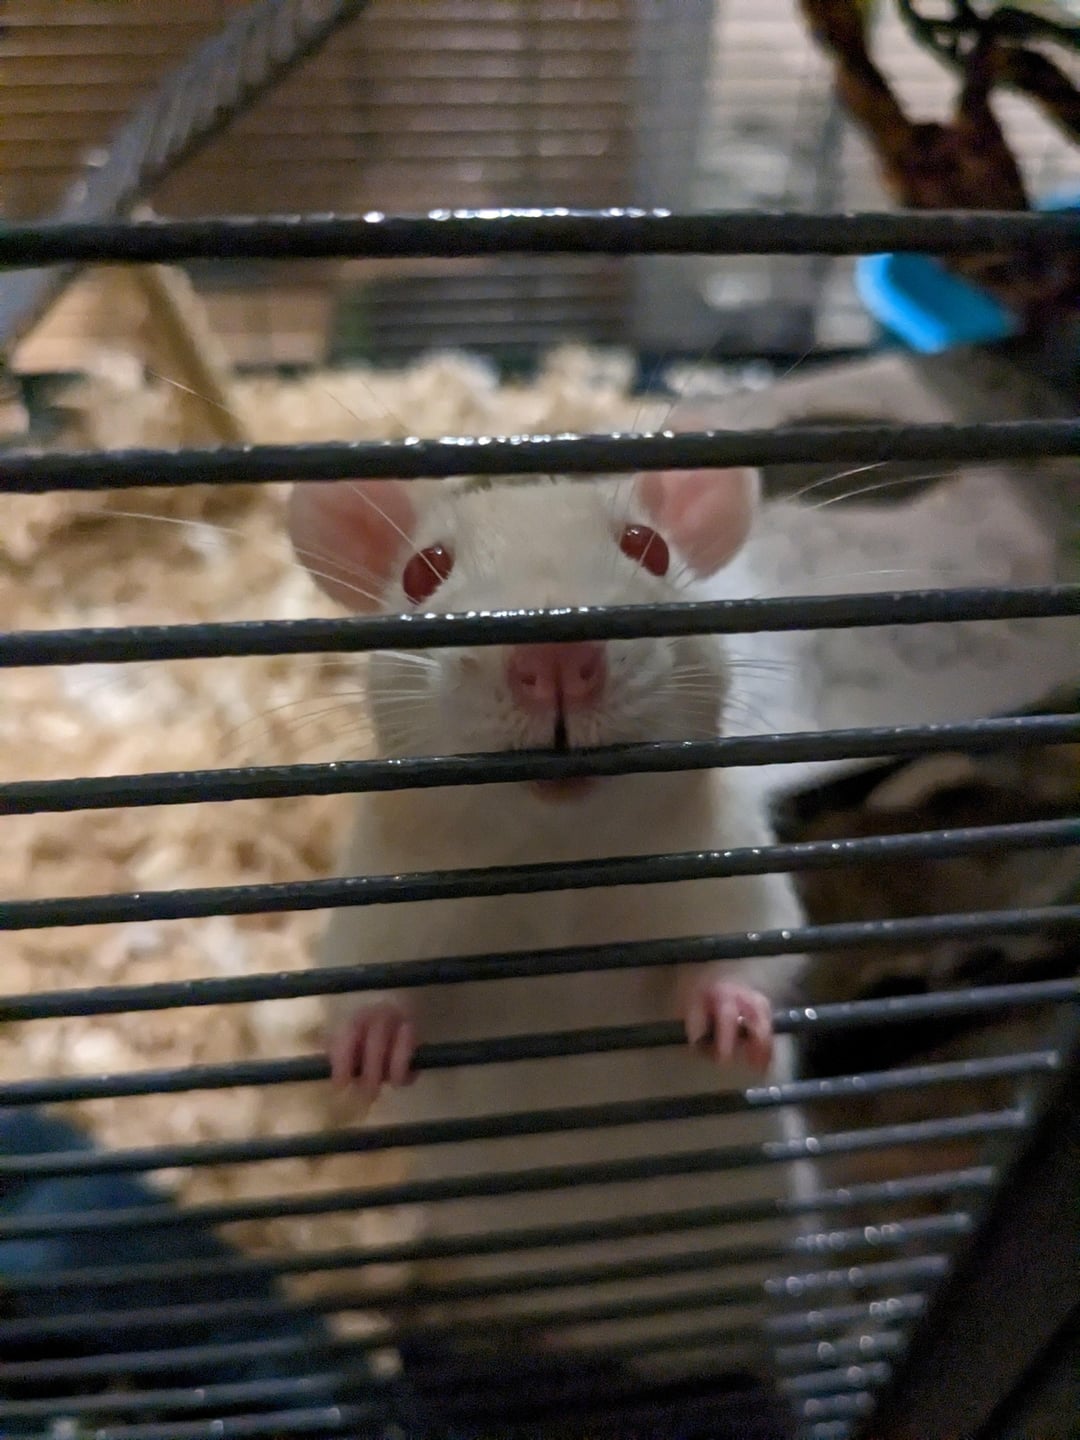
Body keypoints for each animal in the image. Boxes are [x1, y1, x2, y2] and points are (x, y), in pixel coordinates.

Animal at [288, 465, 813, 1366]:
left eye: (648, 548)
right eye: (424, 572)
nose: (558, 656)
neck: (557, 861)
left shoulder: (730, 867)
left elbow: (758, 954)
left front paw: (729, 1016)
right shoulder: (379, 899)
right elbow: (360, 986)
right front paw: (369, 1051)